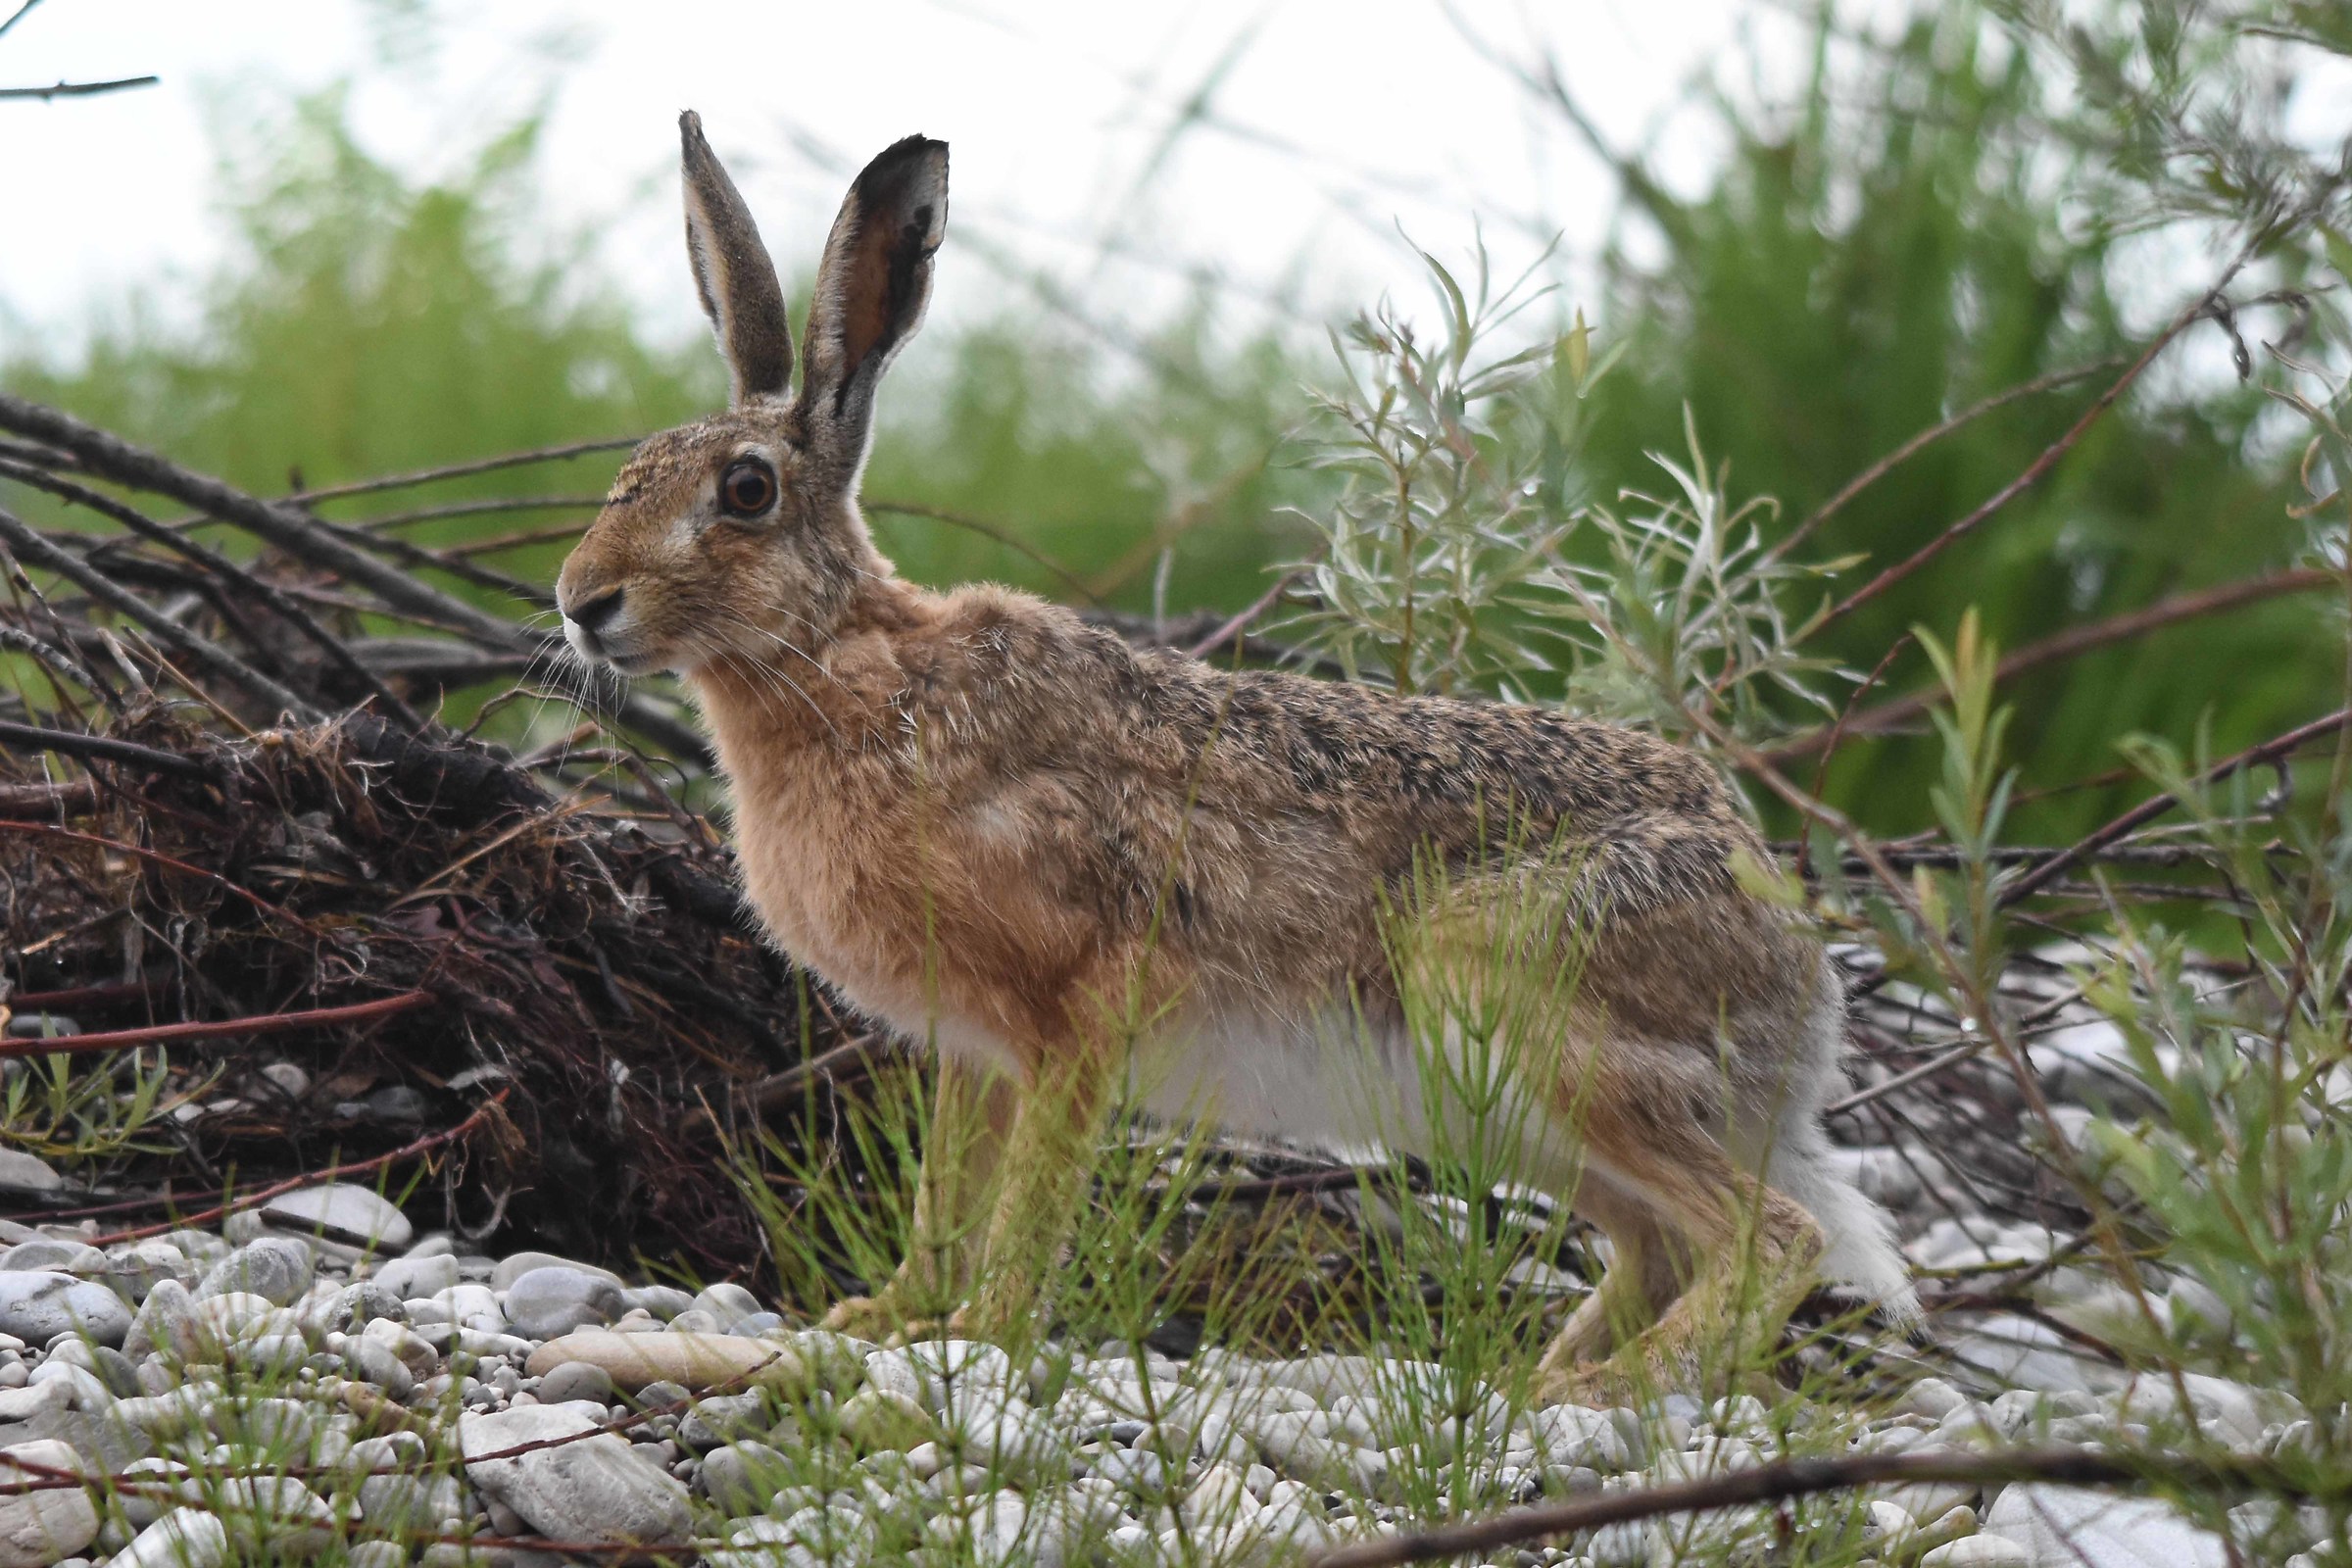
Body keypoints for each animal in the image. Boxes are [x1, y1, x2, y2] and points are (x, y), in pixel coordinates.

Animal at [555, 112, 1919, 1402]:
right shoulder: (970, 1050)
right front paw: (881, 1320)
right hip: (1503, 1100)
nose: (580, 601)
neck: (847, 665)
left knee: (1772, 1240)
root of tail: (1794, 957)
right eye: (631, 467)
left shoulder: (1078, 1014)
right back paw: (1540, 1377)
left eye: (745, 491)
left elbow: (1027, 1211)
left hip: (1532, 1019)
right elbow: (947, 1200)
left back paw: (1590, 1394)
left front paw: (976, 1331)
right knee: (1658, 1249)